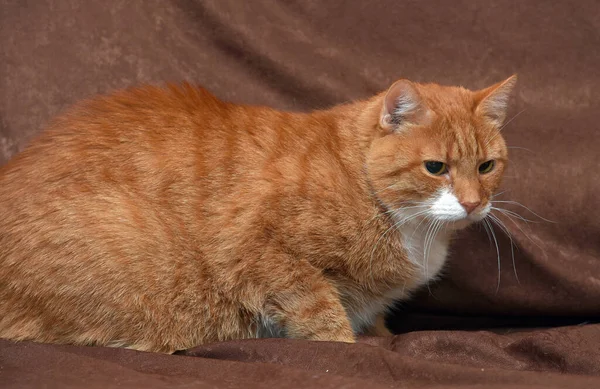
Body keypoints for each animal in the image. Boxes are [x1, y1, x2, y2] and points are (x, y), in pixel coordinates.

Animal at [0, 75, 516, 352]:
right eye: (436, 168)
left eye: (486, 166)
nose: (473, 202)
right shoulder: (257, 248)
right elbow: (322, 316)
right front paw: (345, 345)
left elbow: (372, 321)